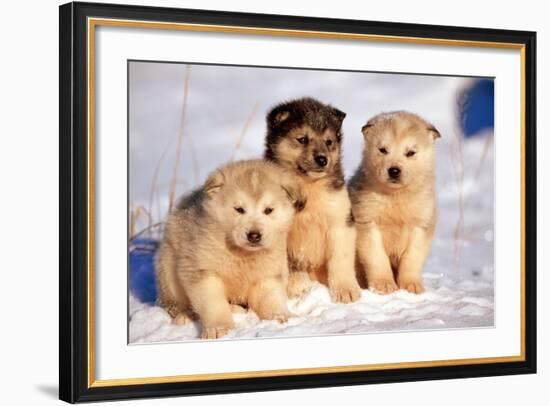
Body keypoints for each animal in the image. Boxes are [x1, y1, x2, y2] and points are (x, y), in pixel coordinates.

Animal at [155, 159, 304, 340]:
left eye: (268, 210)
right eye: (239, 209)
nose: (254, 235)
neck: (242, 254)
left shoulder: (268, 273)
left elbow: (271, 298)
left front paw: (281, 317)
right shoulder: (202, 269)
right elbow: (213, 304)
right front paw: (220, 329)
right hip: (167, 269)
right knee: (173, 304)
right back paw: (186, 315)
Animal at [352, 112, 442, 294]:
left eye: (411, 152)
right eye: (382, 150)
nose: (394, 170)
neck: (396, 197)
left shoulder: (422, 223)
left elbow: (412, 257)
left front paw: (411, 286)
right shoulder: (367, 220)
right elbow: (377, 256)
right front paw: (384, 286)